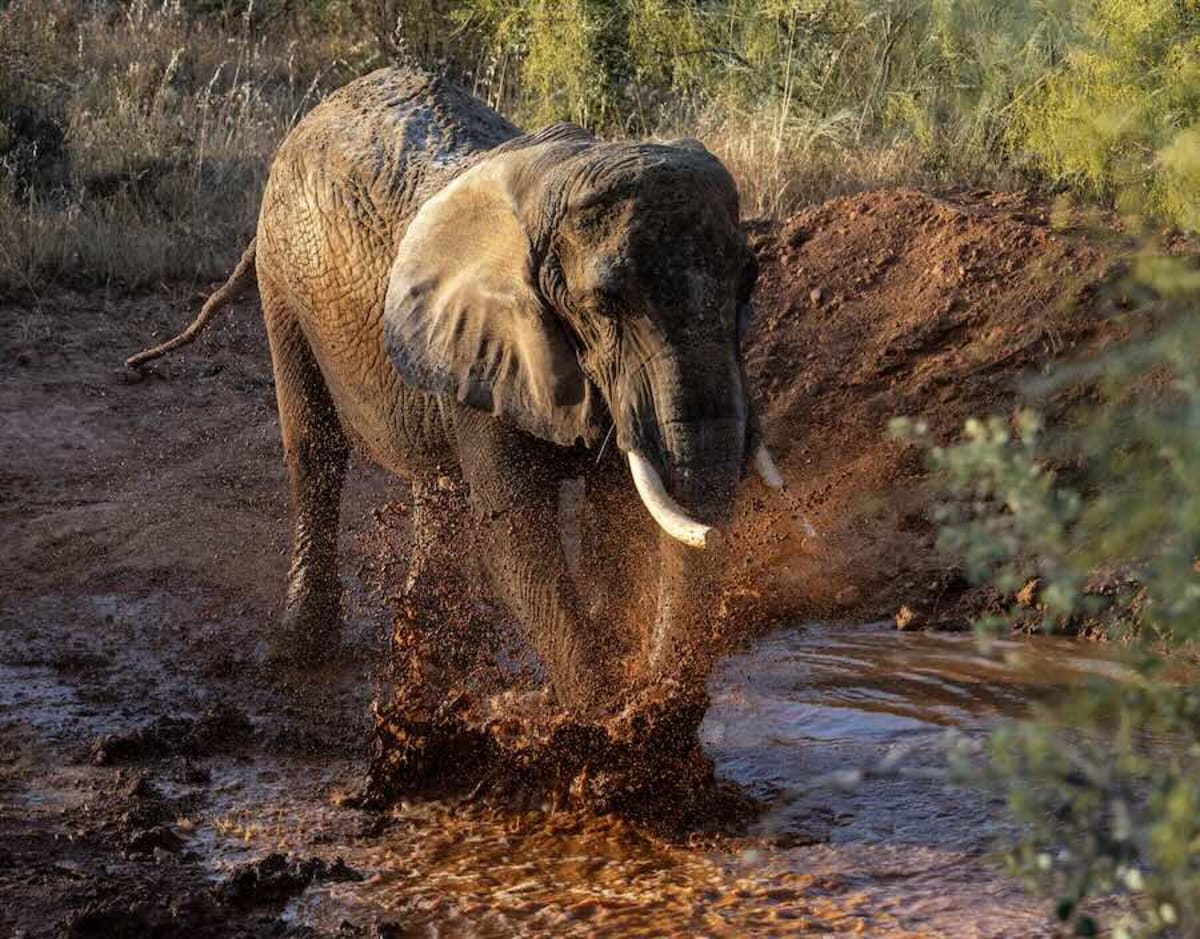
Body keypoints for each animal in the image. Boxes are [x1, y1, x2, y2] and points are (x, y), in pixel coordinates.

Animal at [128, 67, 788, 714]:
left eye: (749, 282)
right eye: (604, 305)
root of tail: (310, 116)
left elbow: (613, 516)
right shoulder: (489, 343)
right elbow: (516, 533)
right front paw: (599, 723)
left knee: (434, 478)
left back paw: (432, 651)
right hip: (282, 281)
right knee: (315, 451)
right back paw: (302, 651)